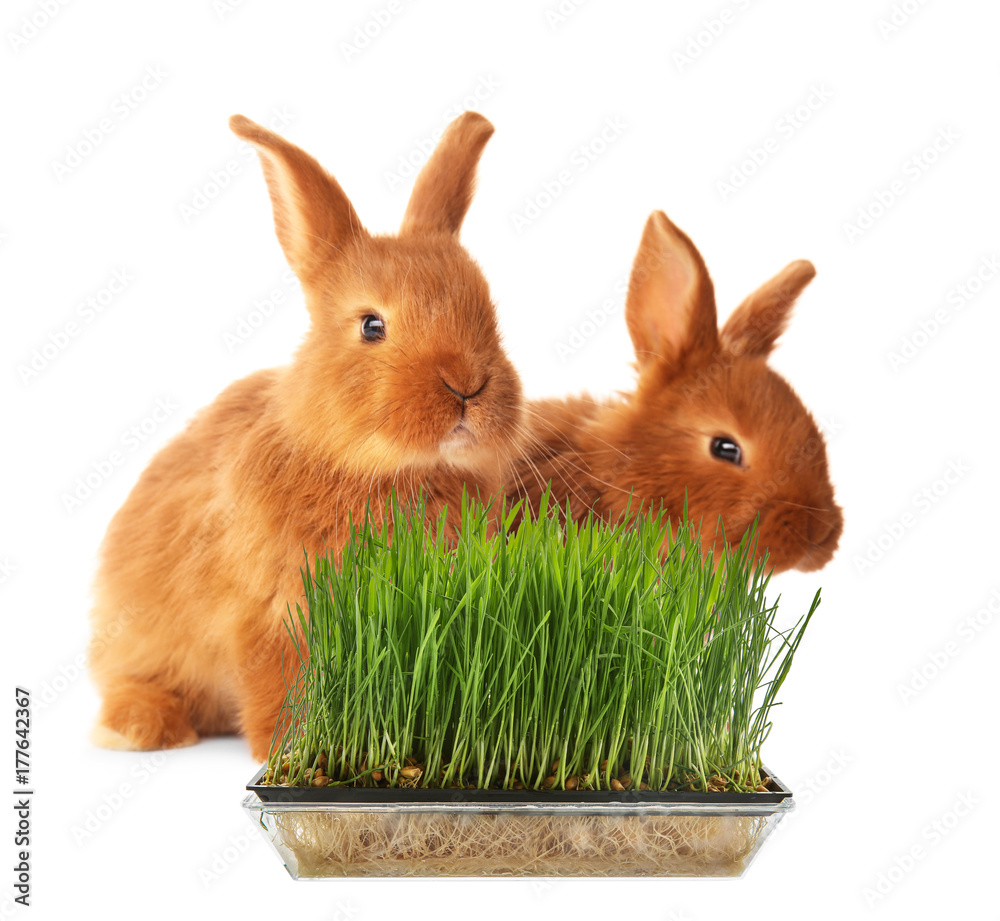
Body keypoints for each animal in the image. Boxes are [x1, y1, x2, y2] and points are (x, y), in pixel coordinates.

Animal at [88, 111, 524, 762]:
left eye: (489, 316)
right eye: (372, 326)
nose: (467, 385)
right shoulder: (272, 614)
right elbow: (281, 685)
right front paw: (287, 751)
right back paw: (141, 727)